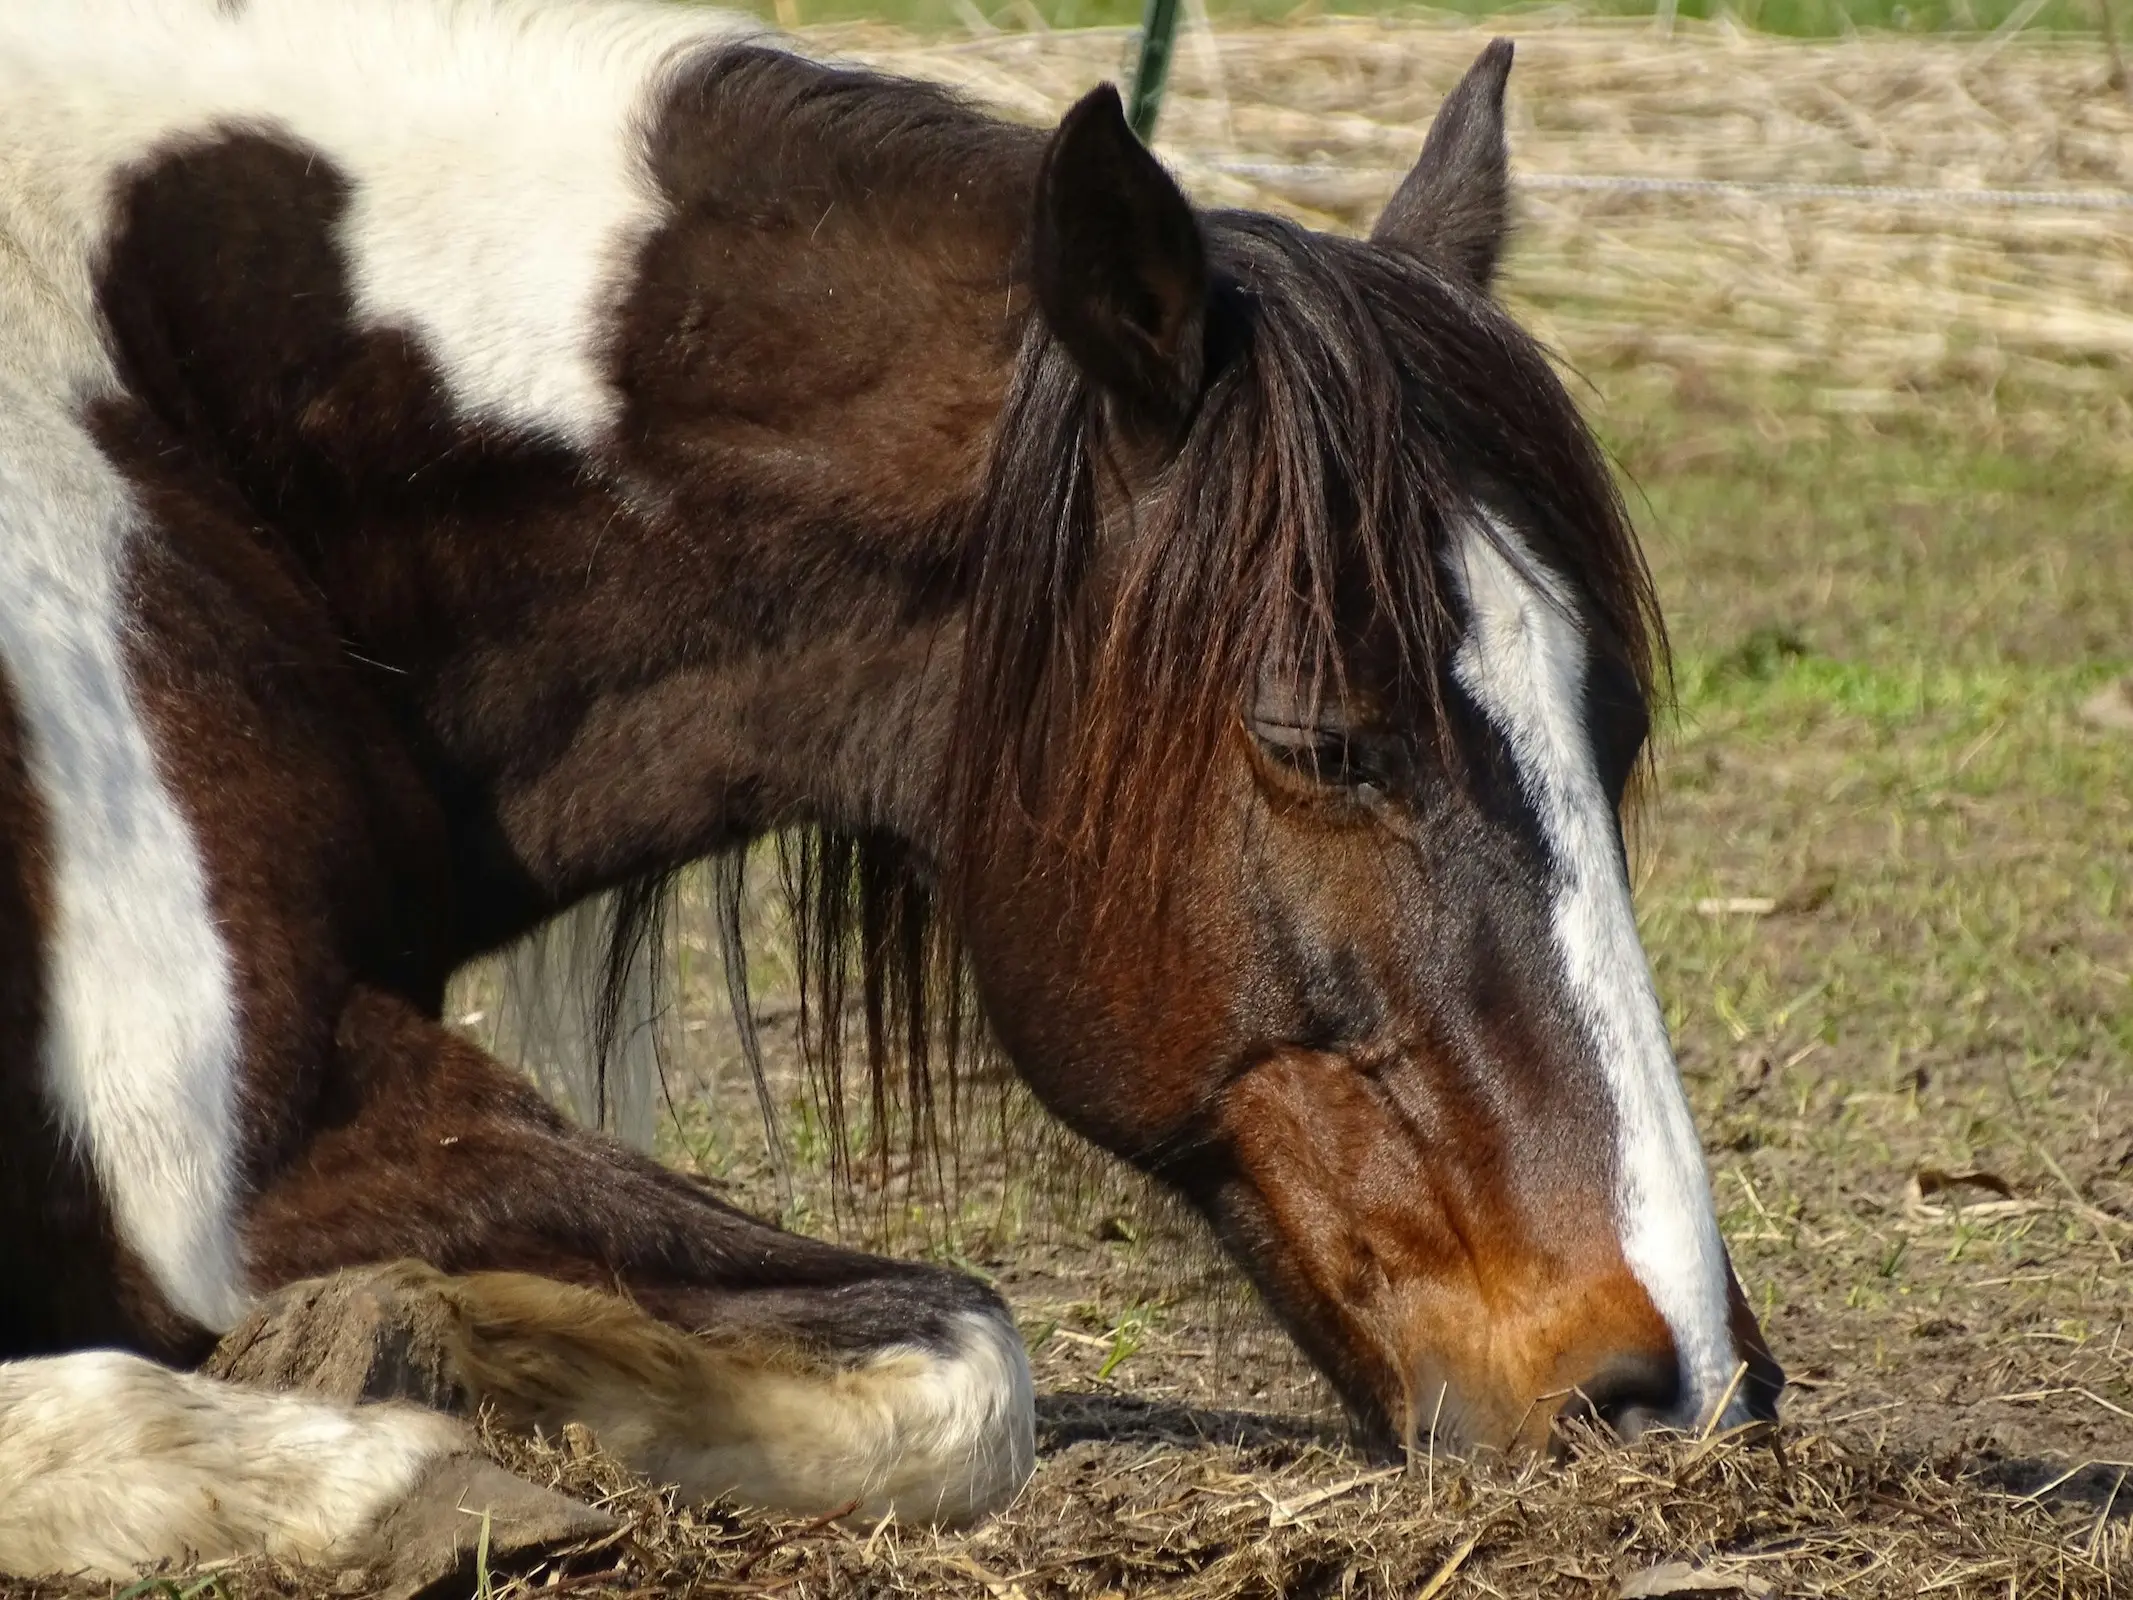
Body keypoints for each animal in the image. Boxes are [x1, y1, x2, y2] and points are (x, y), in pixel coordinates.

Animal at [0, 0, 1782, 1579]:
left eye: (1615, 730)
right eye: (1323, 739)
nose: (1684, 1390)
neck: (168, 431)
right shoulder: (244, 1147)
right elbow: (975, 1358)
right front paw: (425, 1402)